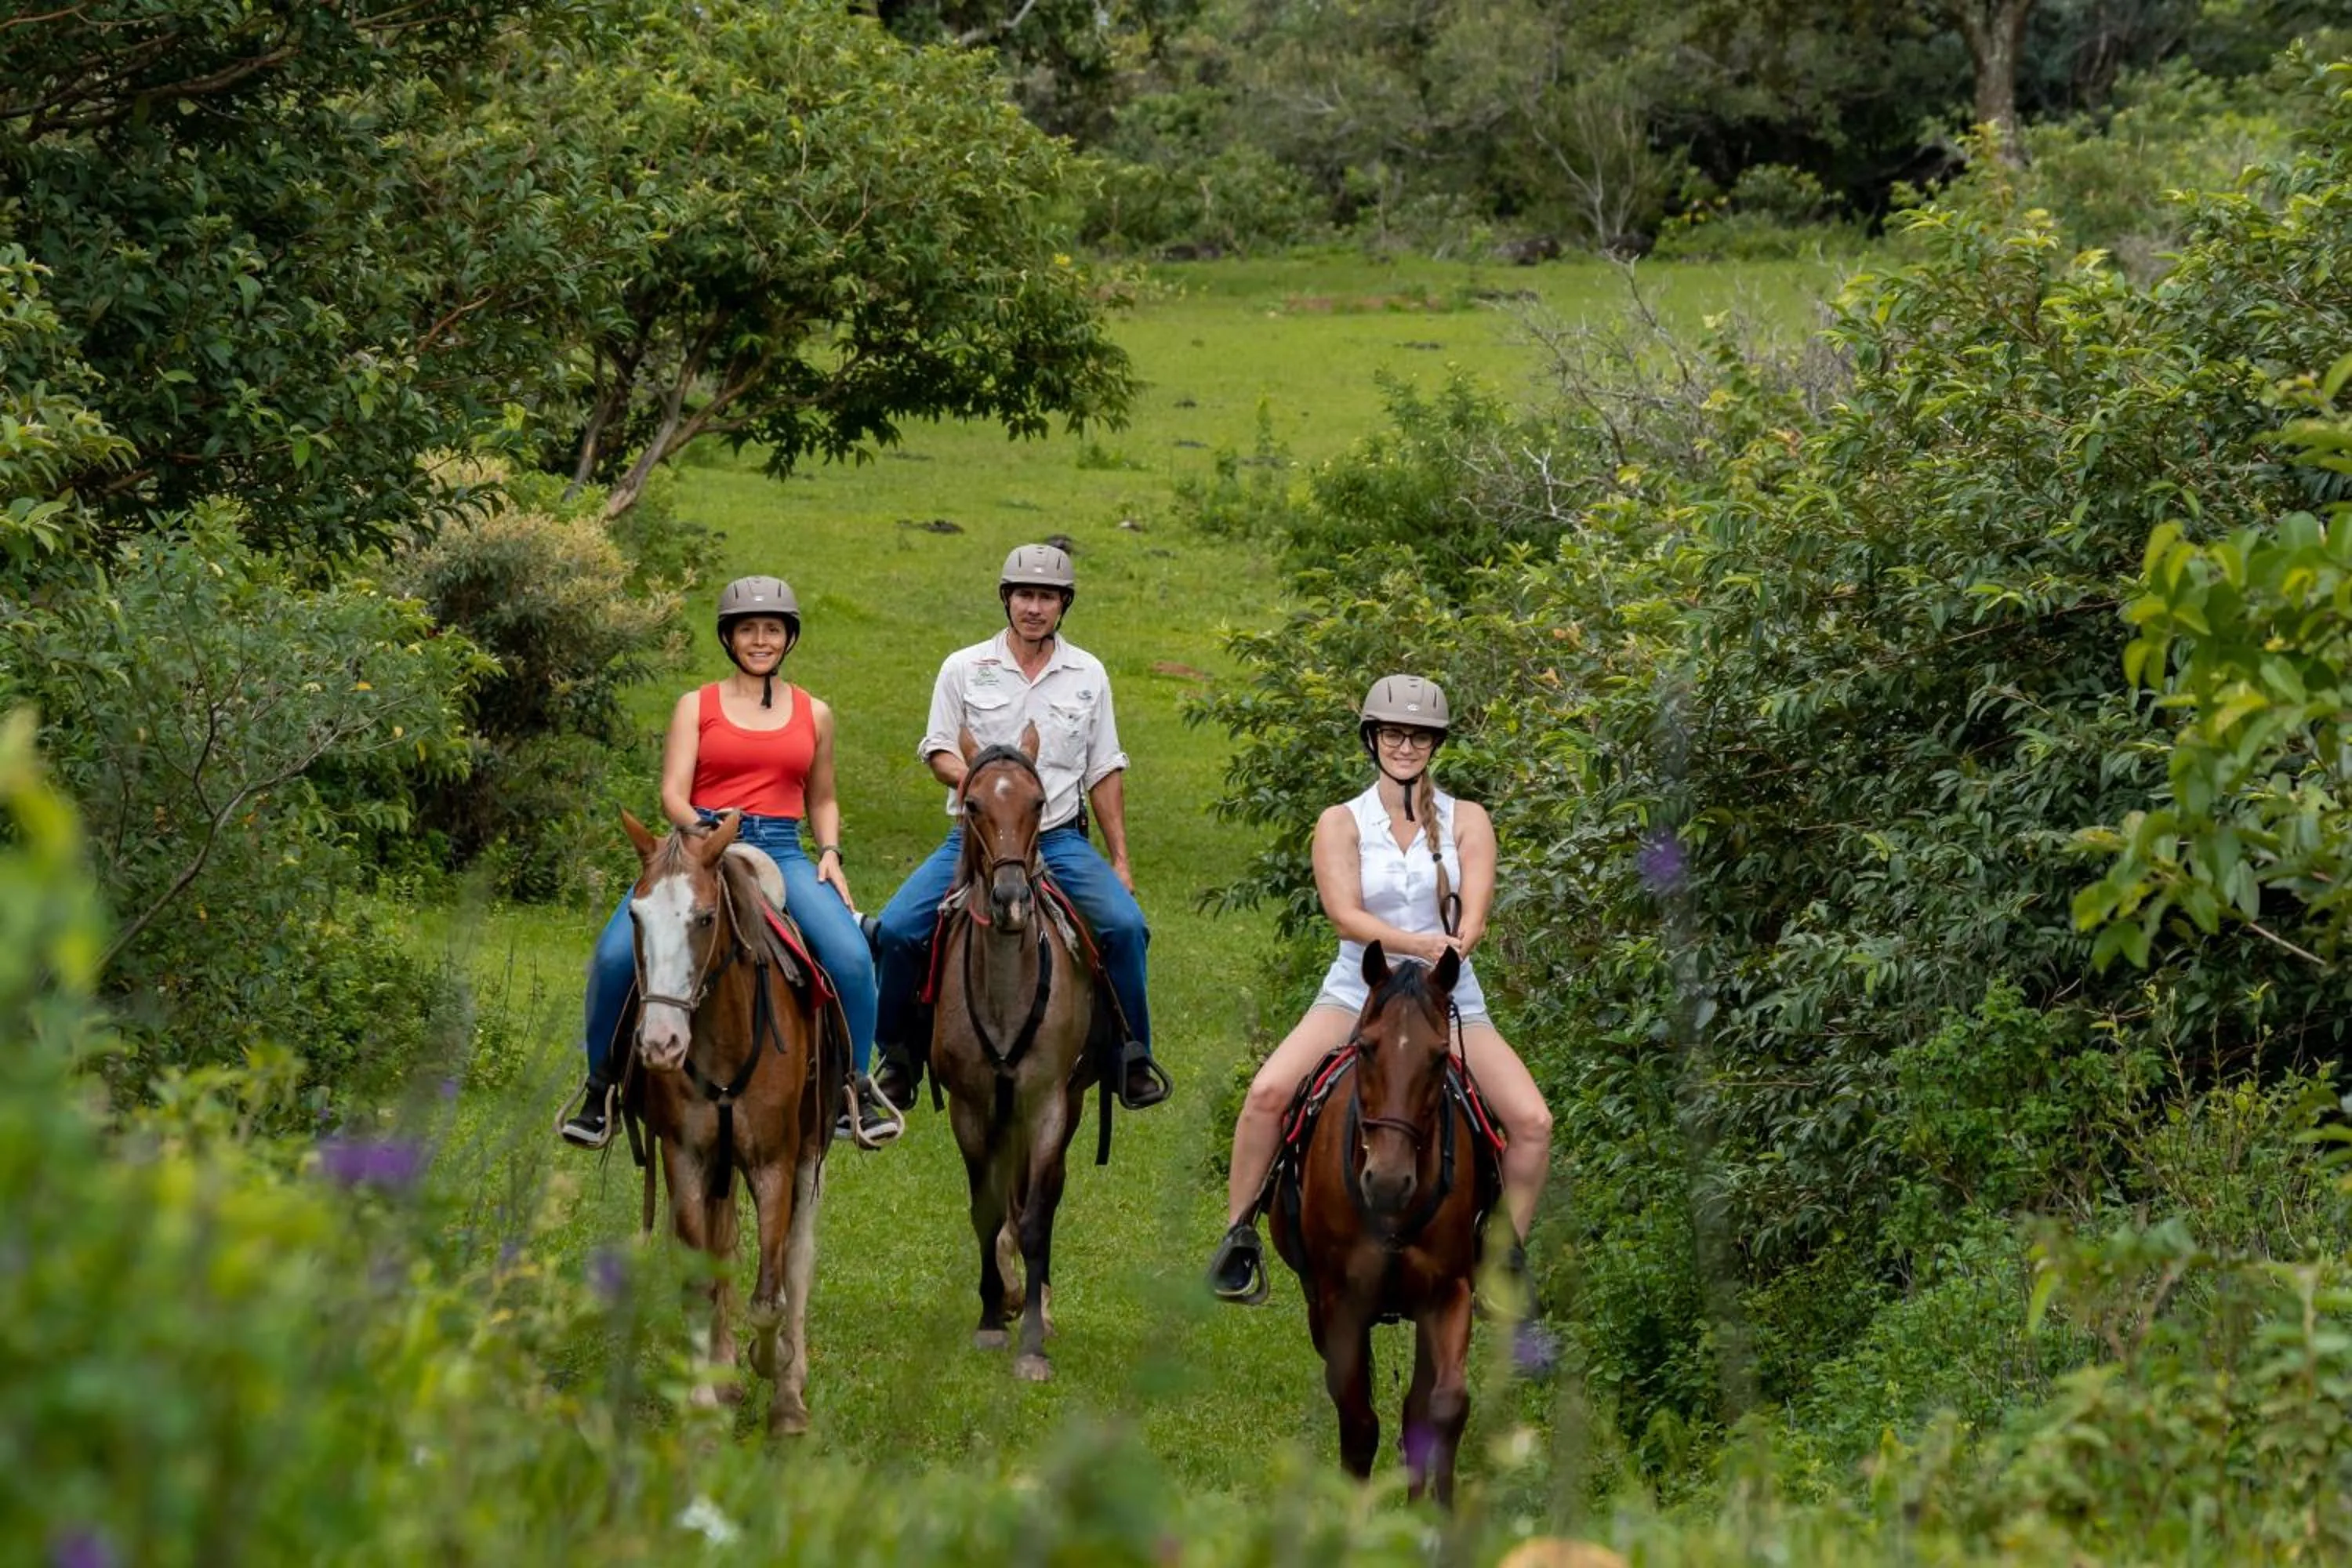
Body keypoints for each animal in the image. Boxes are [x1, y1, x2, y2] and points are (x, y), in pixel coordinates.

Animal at [618, 808, 844, 1435]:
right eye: (635, 915)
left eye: (705, 918)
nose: (661, 1044)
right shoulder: (686, 1158)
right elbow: (701, 1280)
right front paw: (703, 1401)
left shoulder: (774, 1162)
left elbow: (770, 1297)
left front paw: (774, 1366)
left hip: (809, 1158)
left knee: (796, 1263)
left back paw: (789, 1395)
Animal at [931, 723, 1097, 1382]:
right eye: (974, 805)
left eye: (1037, 801)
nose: (1009, 901)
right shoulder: (970, 1106)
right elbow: (986, 1209)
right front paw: (990, 1321)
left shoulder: (1048, 1103)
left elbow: (1035, 1218)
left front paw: (1031, 1343)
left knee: (1039, 1200)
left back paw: (1037, 1303)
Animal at [1268, 940, 1491, 1505]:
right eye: (1368, 1048)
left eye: (1439, 1056)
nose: (1388, 1182)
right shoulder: (1339, 1301)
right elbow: (1359, 1424)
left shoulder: (1448, 1293)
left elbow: (1444, 1406)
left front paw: (1433, 1515)